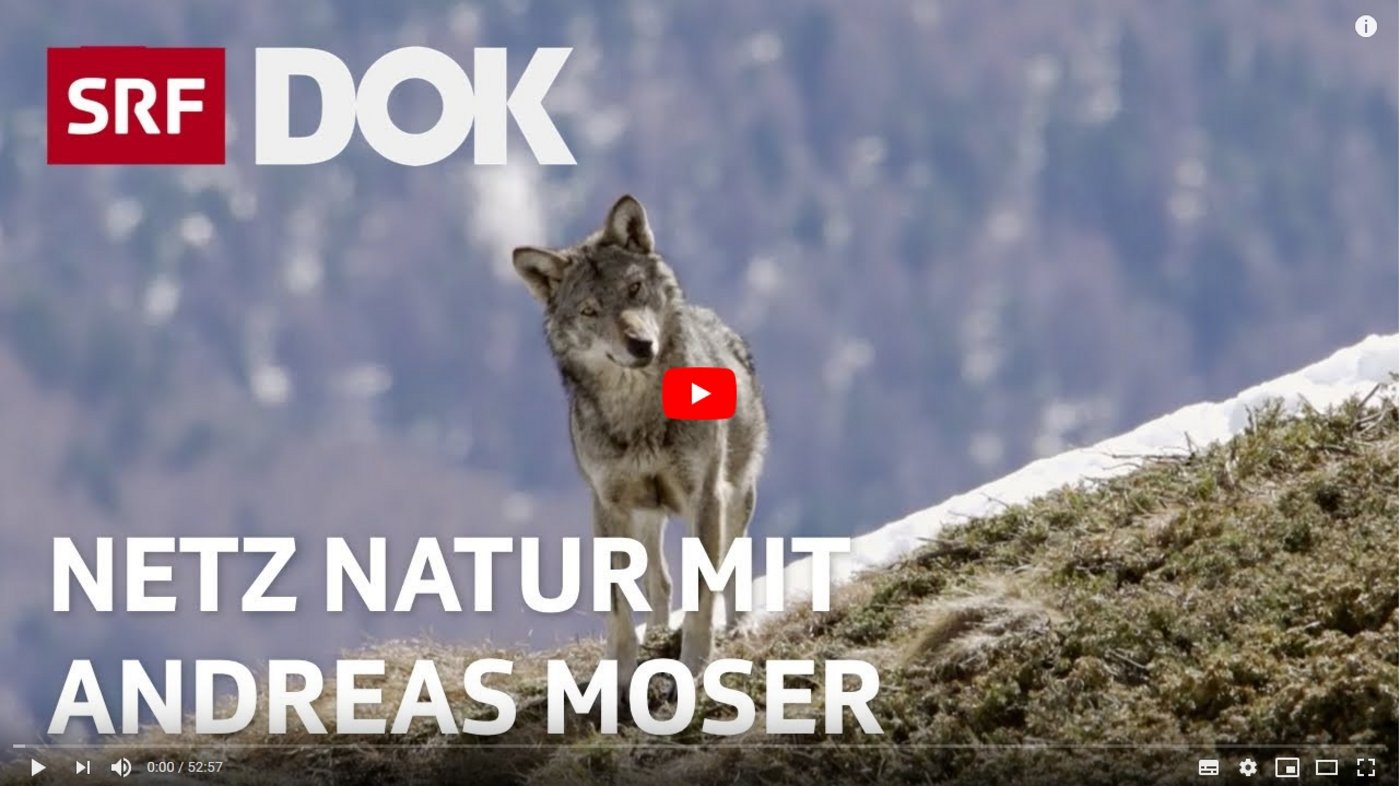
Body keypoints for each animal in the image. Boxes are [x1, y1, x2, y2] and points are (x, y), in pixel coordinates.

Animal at [513, 194, 768, 688]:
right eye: (589, 311)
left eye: (633, 288)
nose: (640, 345)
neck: (640, 415)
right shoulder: (608, 505)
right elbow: (618, 606)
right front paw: (620, 675)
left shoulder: (705, 497)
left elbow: (703, 596)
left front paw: (695, 667)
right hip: (646, 514)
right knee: (660, 580)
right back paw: (658, 630)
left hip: (736, 495)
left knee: (731, 567)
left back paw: (740, 626)